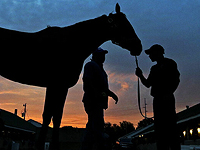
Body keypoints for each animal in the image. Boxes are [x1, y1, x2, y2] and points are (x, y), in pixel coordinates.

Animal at [0, 3, 141, 149]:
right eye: (122, 24)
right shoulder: (55, 85)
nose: (138, 46)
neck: (70, 45)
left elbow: (56, 116)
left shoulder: (60, 87)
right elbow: (49, 115)